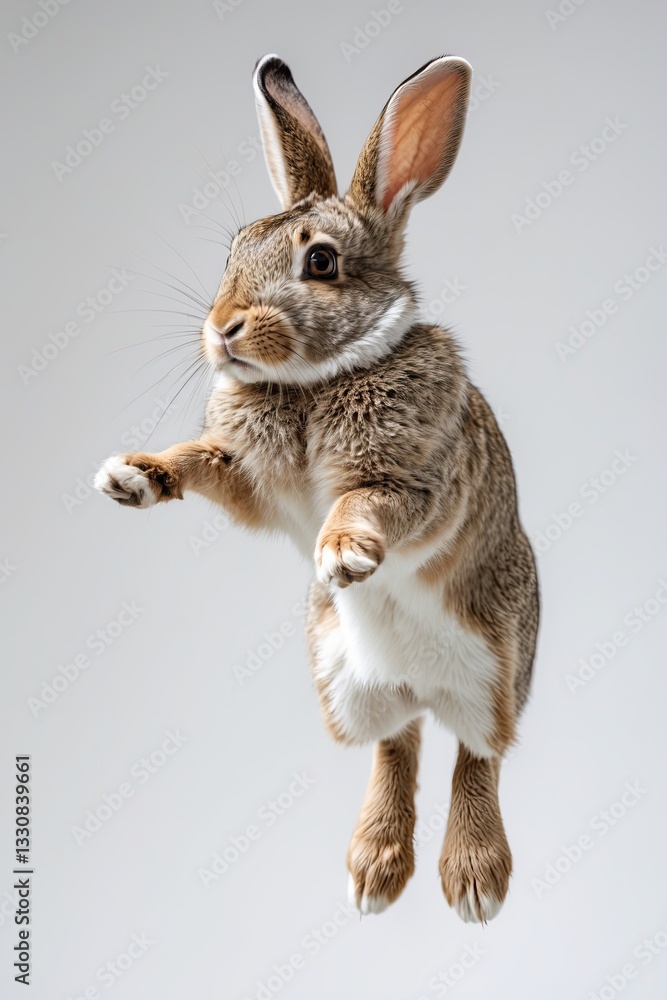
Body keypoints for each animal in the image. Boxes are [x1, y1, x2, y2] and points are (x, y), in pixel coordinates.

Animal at [95, 53, 539, 923]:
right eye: (233, 248)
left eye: (321, 262)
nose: (222, 328)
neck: (315, 381)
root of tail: (420, 685)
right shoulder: (247, 479)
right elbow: (198, 461)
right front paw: (132, 475)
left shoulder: (412, 479)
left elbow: (366, 502)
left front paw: (344, 552)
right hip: (345, 681)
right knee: (397, 742)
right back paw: (374, 871)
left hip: (496, 669)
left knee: (477, 755)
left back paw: (473, 882)